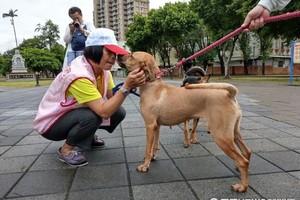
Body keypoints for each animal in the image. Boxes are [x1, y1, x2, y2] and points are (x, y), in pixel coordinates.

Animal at [117, 51, 251, 192]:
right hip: (234, 133)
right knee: (247, 152)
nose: (117, 55)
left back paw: (242, 186)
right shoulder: (156, 126)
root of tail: (230, 95)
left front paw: (145, 165)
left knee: (242, 161)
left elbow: (148, 148)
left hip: (221, 136)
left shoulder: (149, 125)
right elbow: (155, 145)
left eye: (131, 55)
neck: (152, 87)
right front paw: (153, 157)